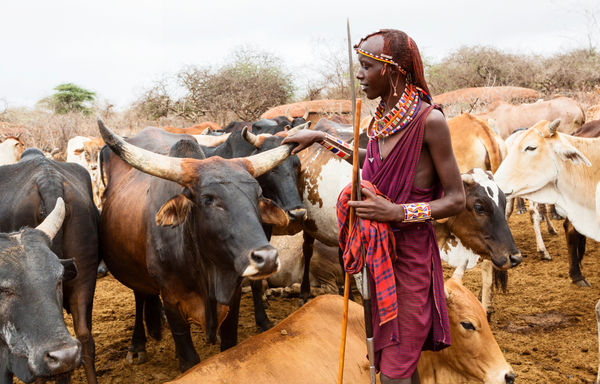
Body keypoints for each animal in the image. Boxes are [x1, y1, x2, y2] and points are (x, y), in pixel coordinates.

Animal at [97, 119, 294, 372]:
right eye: (208, 199)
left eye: (258, 194)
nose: (267, 259)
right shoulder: (171, 299)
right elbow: (189, 359)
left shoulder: (233, 294)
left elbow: (228, 344)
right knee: (140, 296)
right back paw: (137, 345)